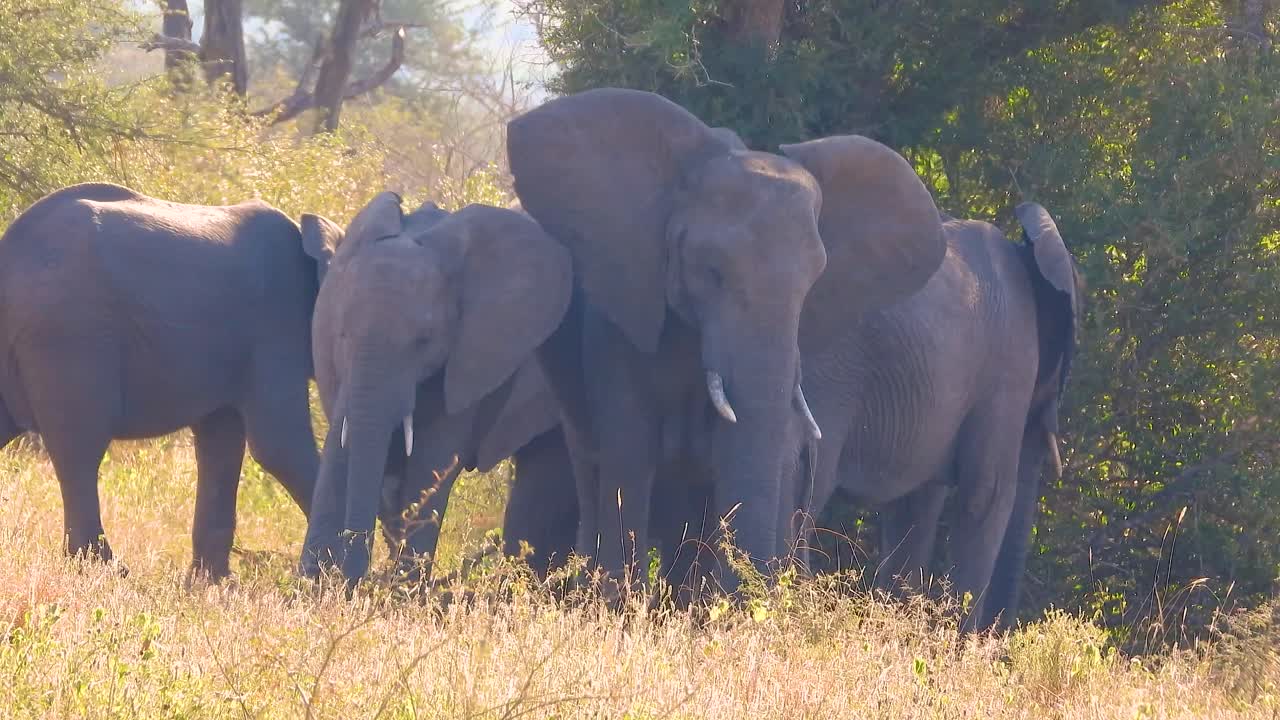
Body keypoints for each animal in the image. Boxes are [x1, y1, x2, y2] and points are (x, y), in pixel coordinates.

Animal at [0, 182, 334, 578]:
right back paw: (110, 570)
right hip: (69, 333)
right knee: (80, 446)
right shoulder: (276, 327)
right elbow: (280, 447)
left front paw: (213, 583)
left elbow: (221, 441)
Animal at [297, 192, 573, 582]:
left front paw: (400, 590)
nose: (358, 578)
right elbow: (341, 445)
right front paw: (314, 585)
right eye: (342, 334)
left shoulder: (474, 355)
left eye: (424, 340)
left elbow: (432, 457)